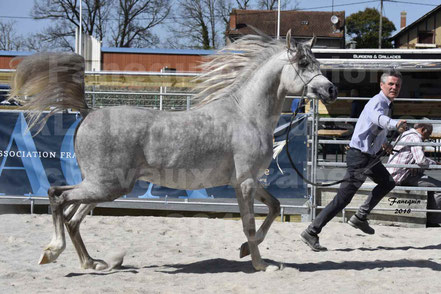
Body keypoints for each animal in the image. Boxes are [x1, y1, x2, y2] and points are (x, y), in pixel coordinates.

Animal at [11, 31, 336, 272]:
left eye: (315, 60)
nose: (331, 90)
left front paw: (247, 251)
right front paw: (259, 264)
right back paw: (53, 252)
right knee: (58, 197)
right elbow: (248, 223)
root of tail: (88, 113)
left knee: (72, 215)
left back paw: (91, 263)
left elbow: (275, 207)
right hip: (107, 186)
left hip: (102, 186)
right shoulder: (243, 182)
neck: (246, 114)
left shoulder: (250, 180)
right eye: (303, 63)